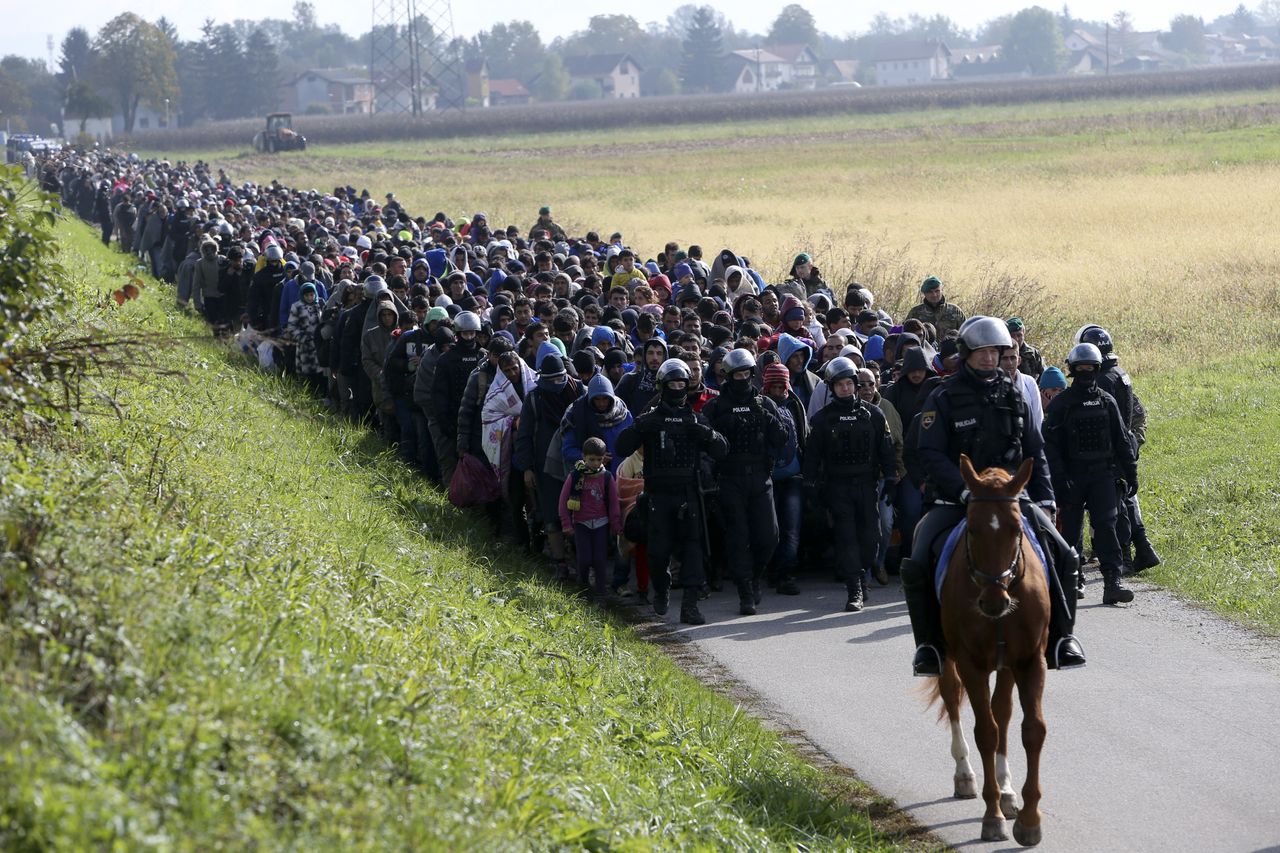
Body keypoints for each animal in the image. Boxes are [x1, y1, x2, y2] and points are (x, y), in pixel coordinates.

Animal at [931, 455, 1049, 840]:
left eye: (1015, 528)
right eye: (972, 529)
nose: (995, 602)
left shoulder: (1029, 660)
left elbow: (1032, 730)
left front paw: (1028, 818)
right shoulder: (971, 664)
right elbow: (985, 731)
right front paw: (992, 815)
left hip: (1007, 665)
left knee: (1003, 712)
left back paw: (1008, 791)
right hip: (946, 657)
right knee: (952, 697)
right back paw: (965, 775)